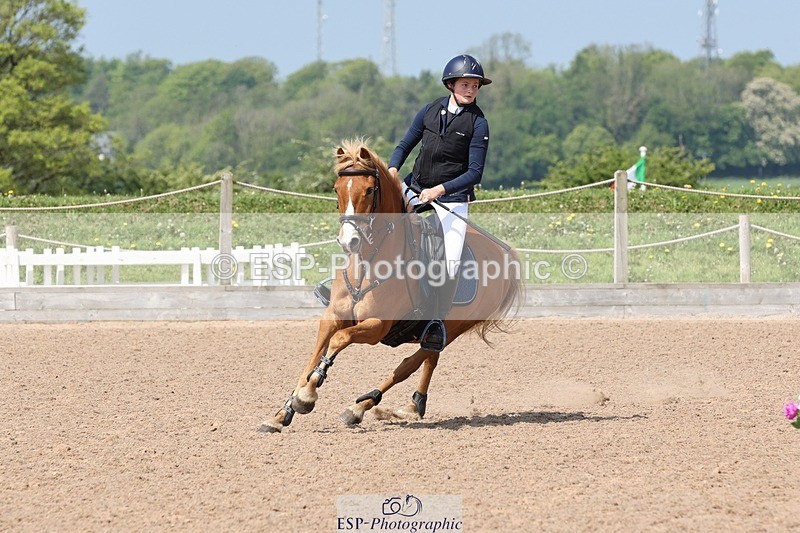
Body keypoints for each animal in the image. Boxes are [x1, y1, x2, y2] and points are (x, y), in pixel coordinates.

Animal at [260, 139, 523, 433]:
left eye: (369, 190)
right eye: (336, 189)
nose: (349, 241)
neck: (368, 263)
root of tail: (504, 252)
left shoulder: (376, 327)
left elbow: (340, 340)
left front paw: (306, 397)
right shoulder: (332, 316)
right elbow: (314, 357)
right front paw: (284, 412)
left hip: (455, 325)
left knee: (411, 364)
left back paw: (360, 407)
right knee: (428, 359)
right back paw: (410, 405)